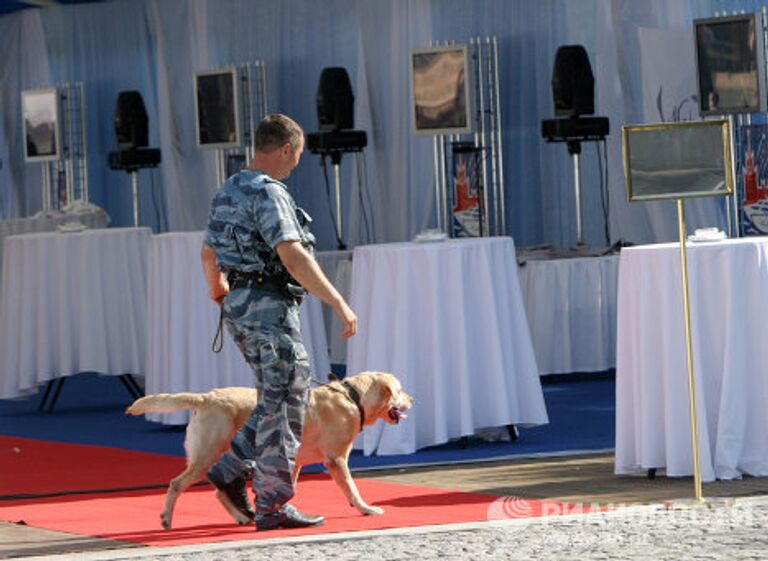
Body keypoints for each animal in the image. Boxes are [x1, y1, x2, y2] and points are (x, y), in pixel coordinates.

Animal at [129, 372, 412, 528]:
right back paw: (166, 519)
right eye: (400, 390)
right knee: (177, 484)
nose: (412, 399)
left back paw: (243, 517)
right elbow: (352, 489)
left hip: (221, 455)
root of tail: (206, 397)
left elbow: (288, 486)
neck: (352, 397)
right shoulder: (336, 459)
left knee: (220, 490)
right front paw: (366, 509)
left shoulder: (294, 461)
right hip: (206, 455)